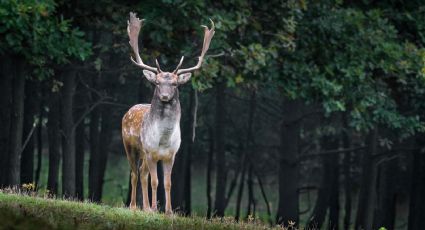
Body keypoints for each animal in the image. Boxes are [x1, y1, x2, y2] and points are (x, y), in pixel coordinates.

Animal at [121, 11, 215, 215]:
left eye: (174, 84)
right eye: (157, 82)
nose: (164, 96)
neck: (163, 139)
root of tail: (128, 111)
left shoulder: (171, 155)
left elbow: (168, 182)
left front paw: (169, 211)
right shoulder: (151, 152)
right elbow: (155, 181)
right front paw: (154, 208)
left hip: (143, 153)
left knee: (142, 173)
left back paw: (145, 207)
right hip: (130, 146)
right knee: (134, 173)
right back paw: (134, 206)